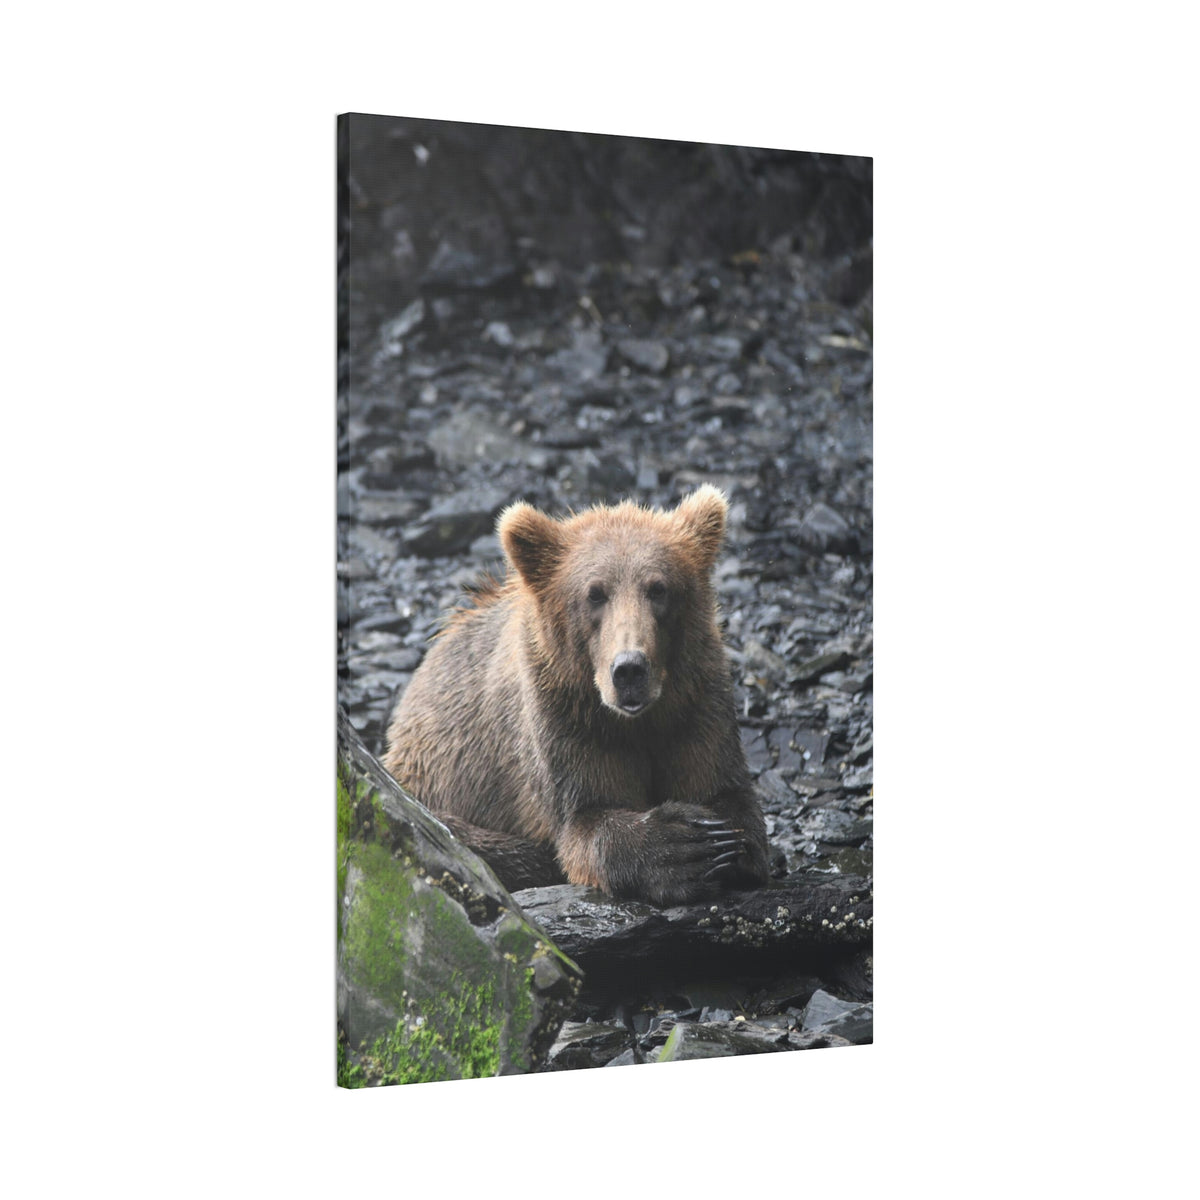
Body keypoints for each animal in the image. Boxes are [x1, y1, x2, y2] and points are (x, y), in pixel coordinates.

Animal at [382, 485, 769, 906]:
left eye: (658, 588)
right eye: (595, 594)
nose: (629, 669)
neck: (636, 721)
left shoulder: (695, 703)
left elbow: (725, 790)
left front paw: (725, 842)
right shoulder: (564, 719)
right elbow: (586, 818)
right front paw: (683, 847)